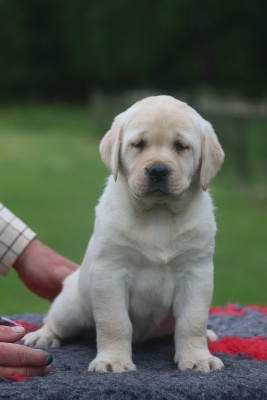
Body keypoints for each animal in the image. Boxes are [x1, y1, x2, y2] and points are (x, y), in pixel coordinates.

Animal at [24, 95, 226, 374]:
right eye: (138, 144)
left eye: (181, 146)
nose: (158, 170)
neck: (158, 214)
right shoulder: (111, 272)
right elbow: (115, 323)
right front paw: (113, 361)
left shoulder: (196, 273)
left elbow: (192, 321)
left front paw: (198, 357)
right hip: (70, 307)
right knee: (54, 320)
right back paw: (43, 335)